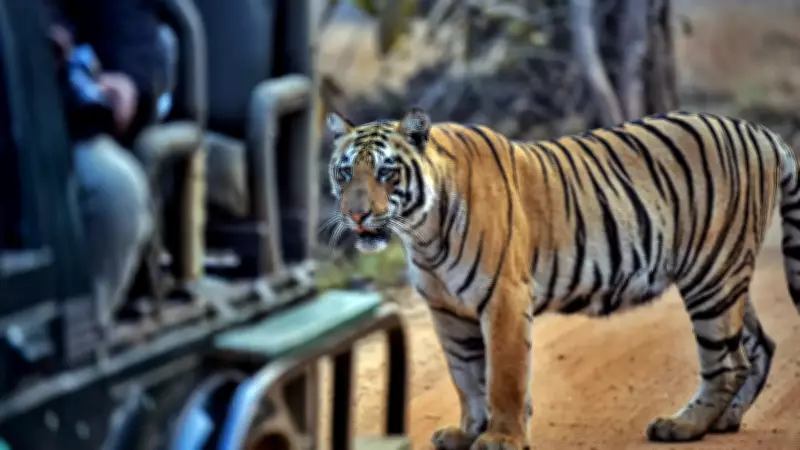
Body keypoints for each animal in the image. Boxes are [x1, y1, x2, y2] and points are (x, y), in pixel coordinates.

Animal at [323, 107, 800, 450]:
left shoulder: (504, 297)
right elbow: (466, 375)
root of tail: (761, 131)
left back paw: (684, 426)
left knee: (727, 362)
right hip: (725, 275)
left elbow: (503, 376)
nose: (356, 215)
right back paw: (725, 421)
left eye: (386, 172)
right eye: (344, 172)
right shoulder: (447, 311)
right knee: (758, 347)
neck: (422, 233)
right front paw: (467, 432)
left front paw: (501, 438)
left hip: (712, 276)